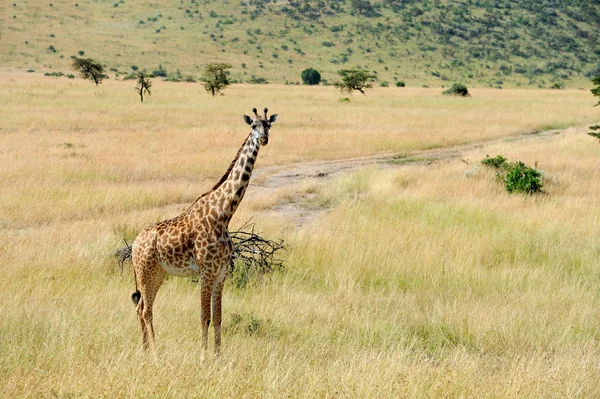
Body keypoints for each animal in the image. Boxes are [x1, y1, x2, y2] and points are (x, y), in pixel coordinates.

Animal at [130, 108, 278, 354]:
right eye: (253, 125)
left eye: (269, 125)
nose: (264, 139)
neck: (223, 215)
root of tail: (134, 244)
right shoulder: (207, 271)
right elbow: (203, 316)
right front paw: (203, 357)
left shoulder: (221, 272)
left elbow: (218, 317)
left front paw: (218, 356)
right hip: (145, 272)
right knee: (146, 310)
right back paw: (155, 353)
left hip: (158, 273)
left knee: (140, 307)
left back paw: (144, 350)